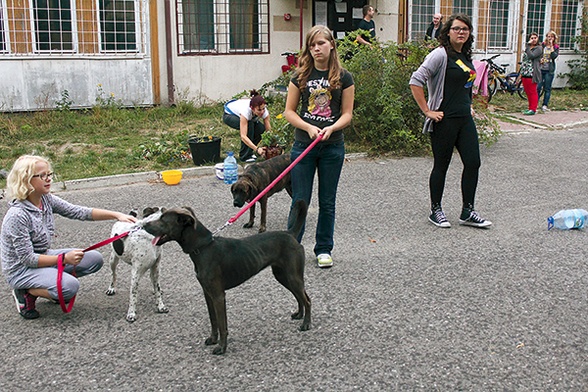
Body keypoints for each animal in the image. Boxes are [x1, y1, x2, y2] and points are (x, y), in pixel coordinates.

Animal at [143, 199, 310, 356]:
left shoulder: (218, 295)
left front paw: (222, 348)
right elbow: (213, 320)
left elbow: (222, 324)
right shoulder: (207, 293)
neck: (203, 247)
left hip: (292, 277)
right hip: (283, 276)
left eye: (163, 220)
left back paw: (306, 324)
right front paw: (213, 339)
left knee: (307, 299)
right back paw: (299, 314)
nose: (144, 225)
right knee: (300, 296)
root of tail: (290, 234)